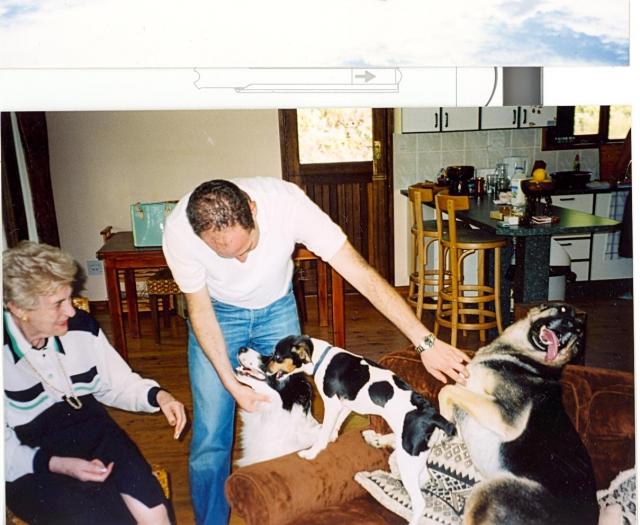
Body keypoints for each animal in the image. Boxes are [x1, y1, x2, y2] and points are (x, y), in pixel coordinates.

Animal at [264, 336, 456, 524]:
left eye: (277, 357)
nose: (265, 370)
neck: (321, 357)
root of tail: (431, 414)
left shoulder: (332, 404)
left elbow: (324, 431)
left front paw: (312, 452)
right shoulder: (346, 404)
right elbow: (337, 423)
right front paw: (332, 437)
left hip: (408, 459)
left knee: (420, 502)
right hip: (417, 458)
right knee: (425, 478)